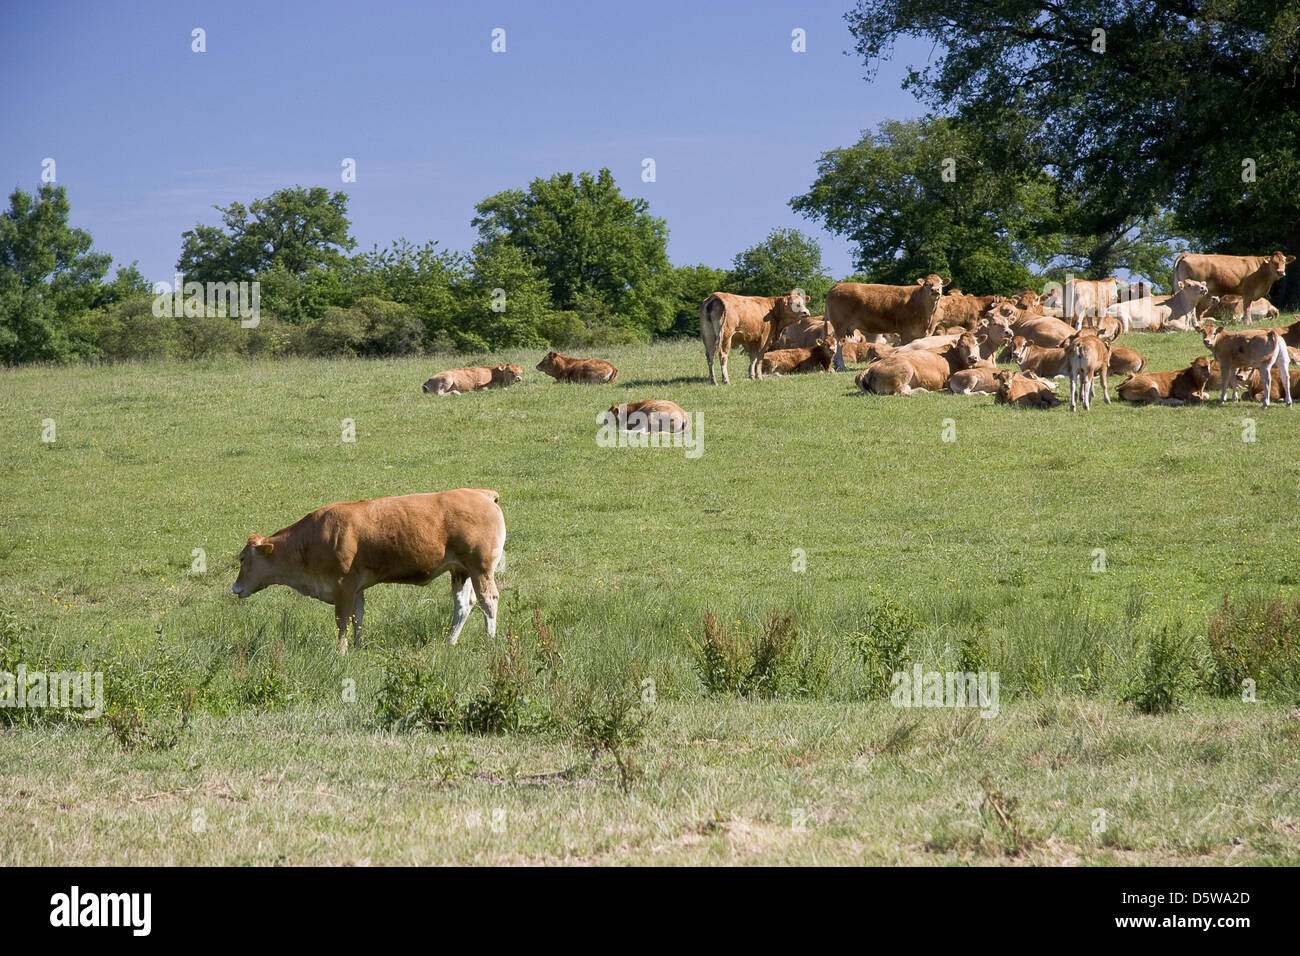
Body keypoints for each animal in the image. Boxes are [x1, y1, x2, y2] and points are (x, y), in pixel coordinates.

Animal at [231, 489, 505, 653]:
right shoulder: (356, 589)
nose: (235, 588)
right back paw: (450, 641)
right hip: (460, 570)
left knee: (488, 601)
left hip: (481, 568)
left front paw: (341, 651)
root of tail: (481, 494)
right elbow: (358, 618)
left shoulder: (342, 586)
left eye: (242, 559)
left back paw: (489, 641)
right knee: (463, 605)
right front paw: (357, 647)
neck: (311, 539)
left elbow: (342, 620)